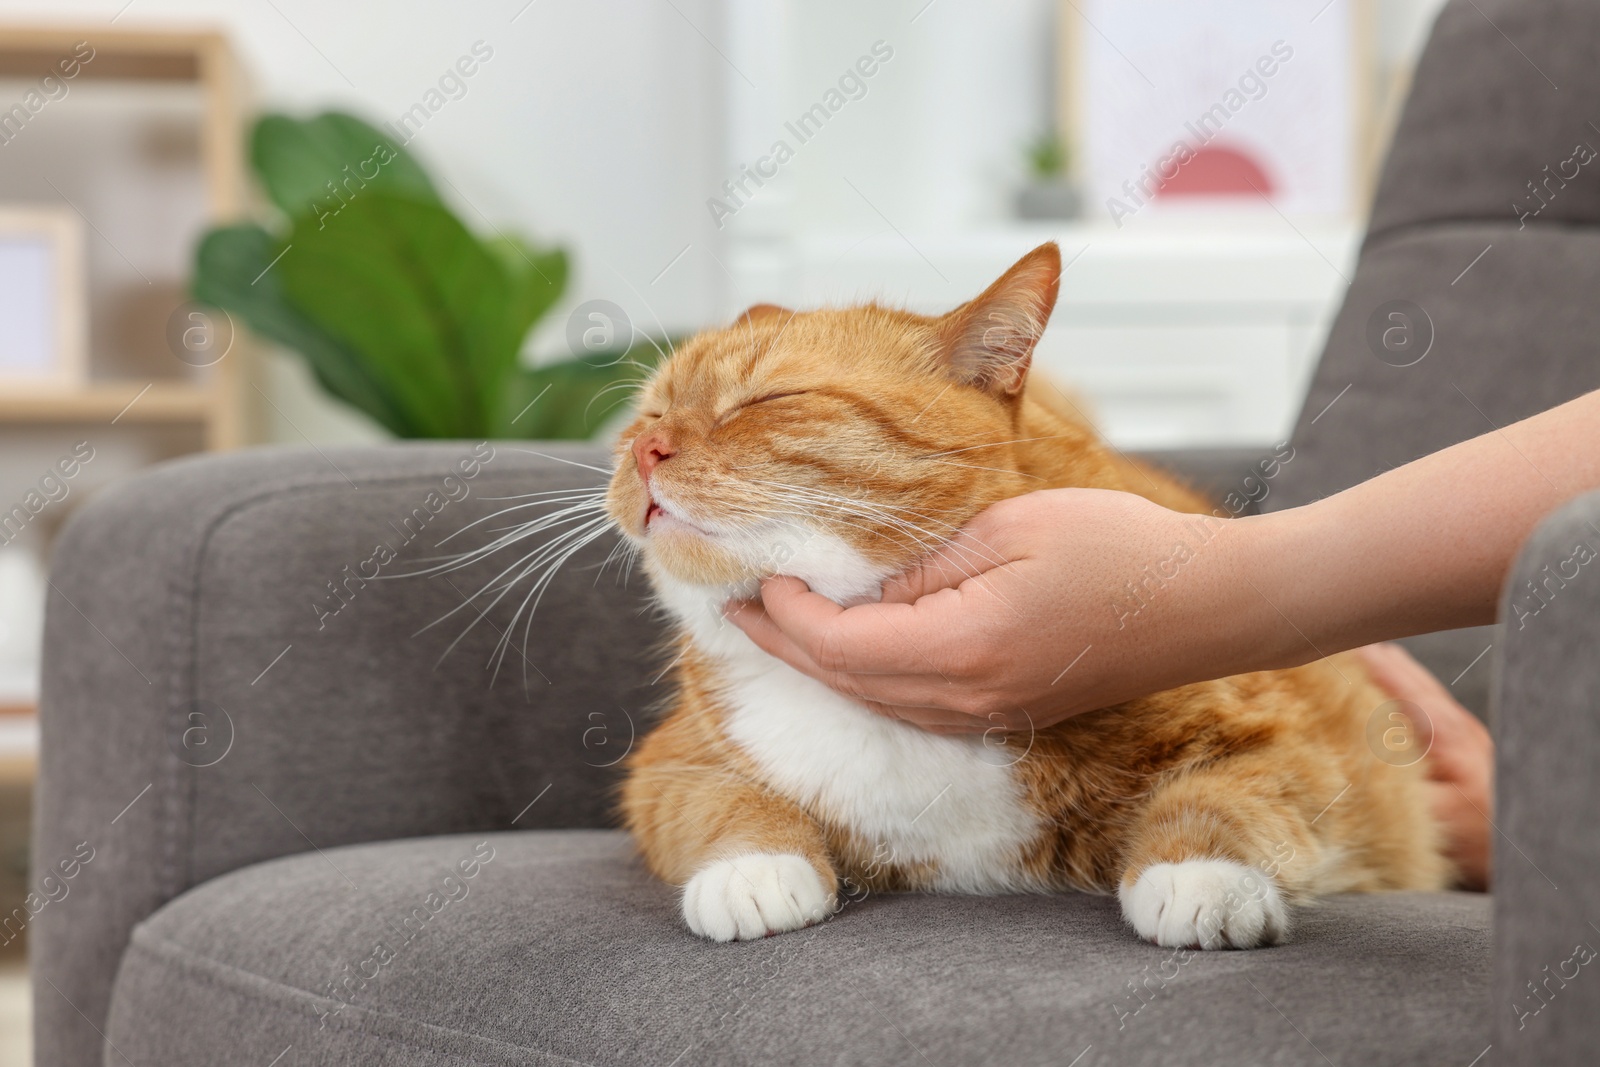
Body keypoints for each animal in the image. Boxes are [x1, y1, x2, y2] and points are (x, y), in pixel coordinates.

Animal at [601, 244, 1452, 953]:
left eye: (769, 399)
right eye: (649, 413)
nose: (646, 450)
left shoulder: (1280, 737)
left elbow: (1228, 793)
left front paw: (1201, 876)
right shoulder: (669, 762)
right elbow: (727, 803)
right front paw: (753, 870)